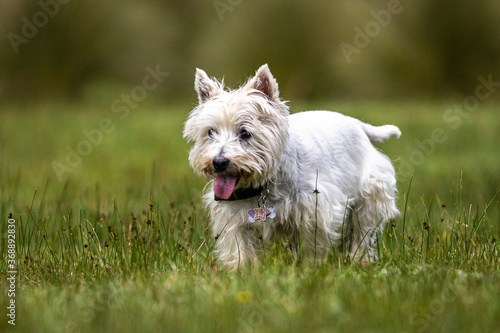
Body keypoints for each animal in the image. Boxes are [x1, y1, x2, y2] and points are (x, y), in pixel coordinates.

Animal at [182, 65, 400, 268]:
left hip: (370, 196)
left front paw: (309, 267)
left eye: (245, 133)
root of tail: (357, 124)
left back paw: (359, 260)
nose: (218, 162)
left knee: (363, 233)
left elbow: (312, 245)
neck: (263, 185)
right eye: (210, 132)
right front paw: (243, 271)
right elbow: (240, 248)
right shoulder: (234, 219)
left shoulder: (315, 211)